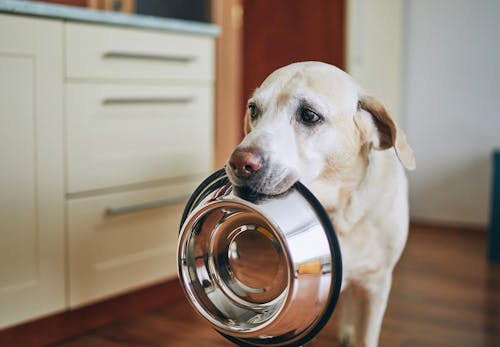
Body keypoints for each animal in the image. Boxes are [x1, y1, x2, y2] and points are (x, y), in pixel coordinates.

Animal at [226, 61, 414, 346]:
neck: (338, 212)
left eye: (309, 115)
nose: (239, 163)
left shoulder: (376, 286)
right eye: (253, 109)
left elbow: (366, 335)